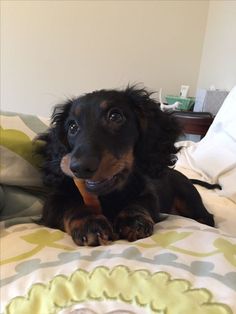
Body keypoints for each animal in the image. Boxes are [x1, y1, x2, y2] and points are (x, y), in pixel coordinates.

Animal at [37, 85, 217, 245]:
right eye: (72, 126)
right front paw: (89, 223)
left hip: (189, 198)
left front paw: (133, 220)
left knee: (207, 217)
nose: (79, 168)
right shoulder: (54, 201)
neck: (108, 195)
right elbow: (71, 207)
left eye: (115, 116)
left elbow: (138, 204)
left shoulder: (149, 196)